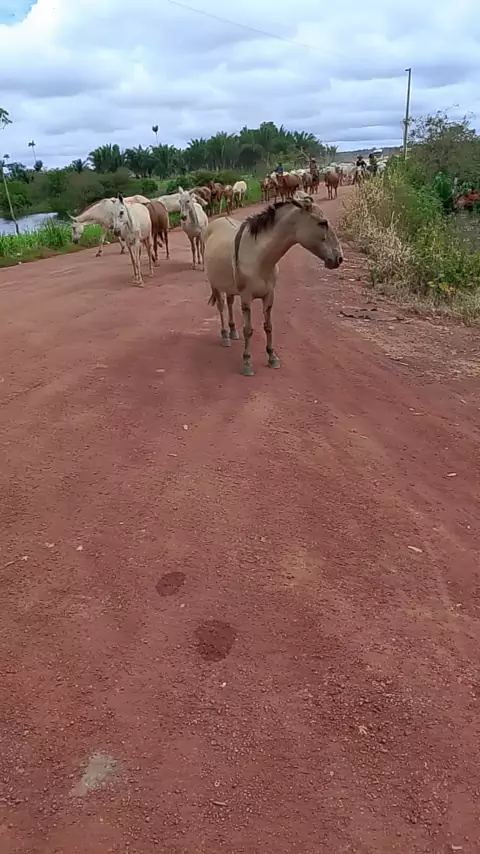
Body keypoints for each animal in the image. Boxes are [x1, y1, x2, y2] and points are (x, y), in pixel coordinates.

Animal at [203, 197, 343, 376]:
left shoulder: (269, 295)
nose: (339, 258)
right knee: (221, 308)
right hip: (215, 286)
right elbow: (248, 330)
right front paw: (247, 363)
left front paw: (272, 357)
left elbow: (268, 326)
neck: (259, 256)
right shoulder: (247, 297)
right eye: (322, 223)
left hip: (230, 288)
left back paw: (233, 332)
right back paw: (225, 336)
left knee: (229, 303)